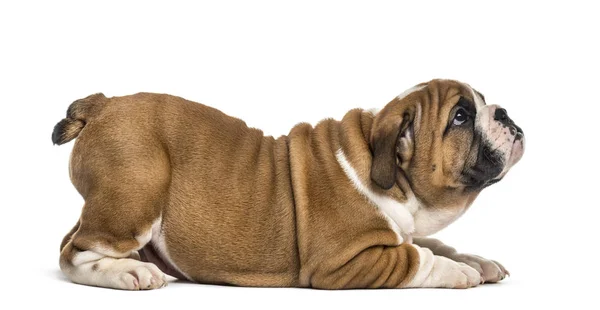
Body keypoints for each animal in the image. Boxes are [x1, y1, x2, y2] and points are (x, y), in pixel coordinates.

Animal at [52, 78, 524, 290]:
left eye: (482, 104)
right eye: (460, 116)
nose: (503, 113)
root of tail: (103, 104)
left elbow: (433, 243)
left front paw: (476, 260)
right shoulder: (346, 262)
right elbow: (418, 258)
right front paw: (458, 271)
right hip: (135, 192)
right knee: (75, 253)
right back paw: (130, 271)